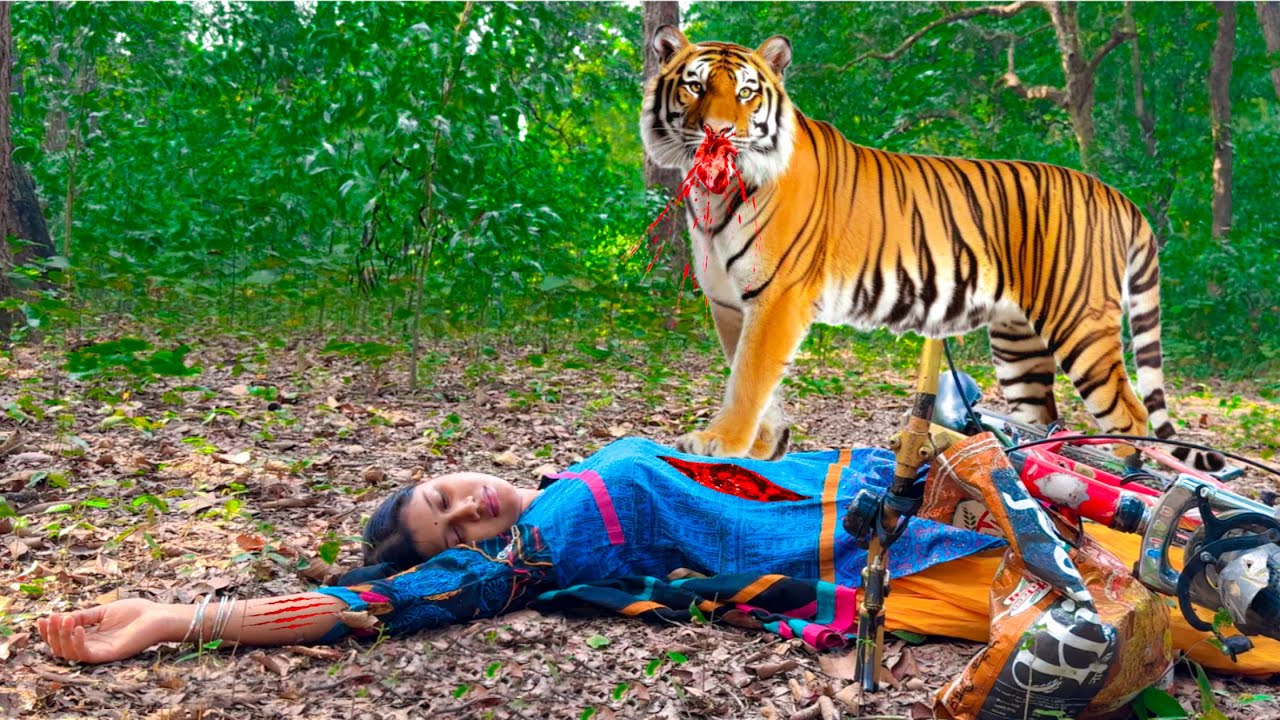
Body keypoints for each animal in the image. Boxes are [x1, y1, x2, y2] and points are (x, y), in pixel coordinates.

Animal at [639, 26, 1224, 472]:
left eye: (746, 93)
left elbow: (749, 377)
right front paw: (765, 444)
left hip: (1080, 327)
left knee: (1132, 417)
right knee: (1040, 419)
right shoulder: (730, 303)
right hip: (1019, 344)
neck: (715, 195)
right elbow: (756, 380)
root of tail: (1118, 194)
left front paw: (719, 442)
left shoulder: (777, 297)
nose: (717, 132)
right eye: (694, 87)